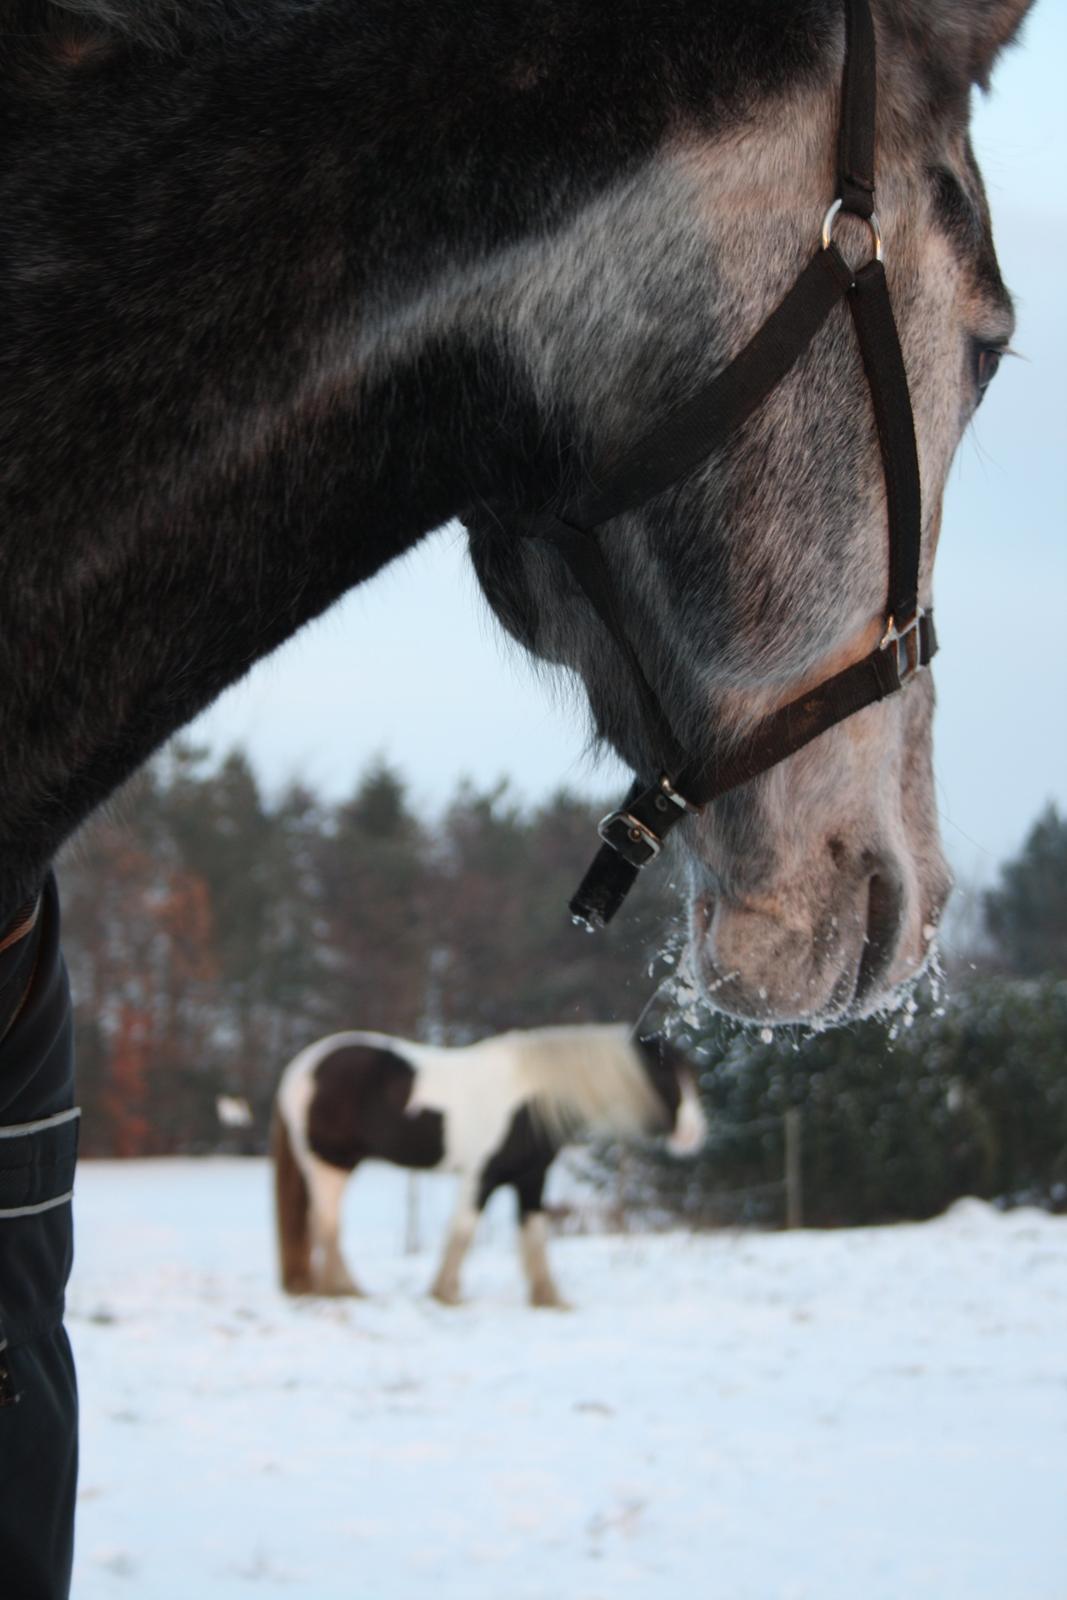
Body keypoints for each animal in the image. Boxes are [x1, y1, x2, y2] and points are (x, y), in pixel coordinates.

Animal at [275, 1030, 703, 1305]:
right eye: (664, 1076)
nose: (694, 1135)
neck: (532, 1099)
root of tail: (300, 1068)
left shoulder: (531, 1180)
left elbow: (534, 1235)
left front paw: (548, 1298)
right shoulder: (480, 1177)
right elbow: (463, 1232)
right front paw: (445, 1293)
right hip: (330, 1165)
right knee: (327, 1224)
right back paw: (343, 1290)